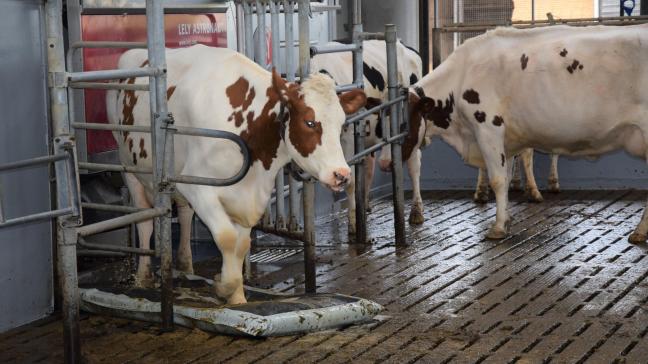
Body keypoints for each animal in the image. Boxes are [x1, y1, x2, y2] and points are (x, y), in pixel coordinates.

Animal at [109, 44, 368, 302]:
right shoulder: (198, 187)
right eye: (310, 122)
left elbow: (241, 246)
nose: (341, 174)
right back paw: (143, 277)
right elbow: (227, 238)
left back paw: (185, 265)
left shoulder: (249, 195)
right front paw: (223, 285)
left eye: (341, 123)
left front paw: (238, 299)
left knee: (184, 214)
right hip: (130, 168)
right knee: (145, 221)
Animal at [312, 39, 428, 233]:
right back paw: (365, 205)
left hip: (413, 132)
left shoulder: (349, 138)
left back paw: (416, 212)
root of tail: (405, 46)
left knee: (414, 165)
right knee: (369, 167)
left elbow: (350, 180)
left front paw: (353, 224)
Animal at [408, 24, 644, 242]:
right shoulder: (507, 139)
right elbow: (507, 175)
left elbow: (498, 179)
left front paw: (498, 227)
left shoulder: (488, 128)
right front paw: (506, 218)